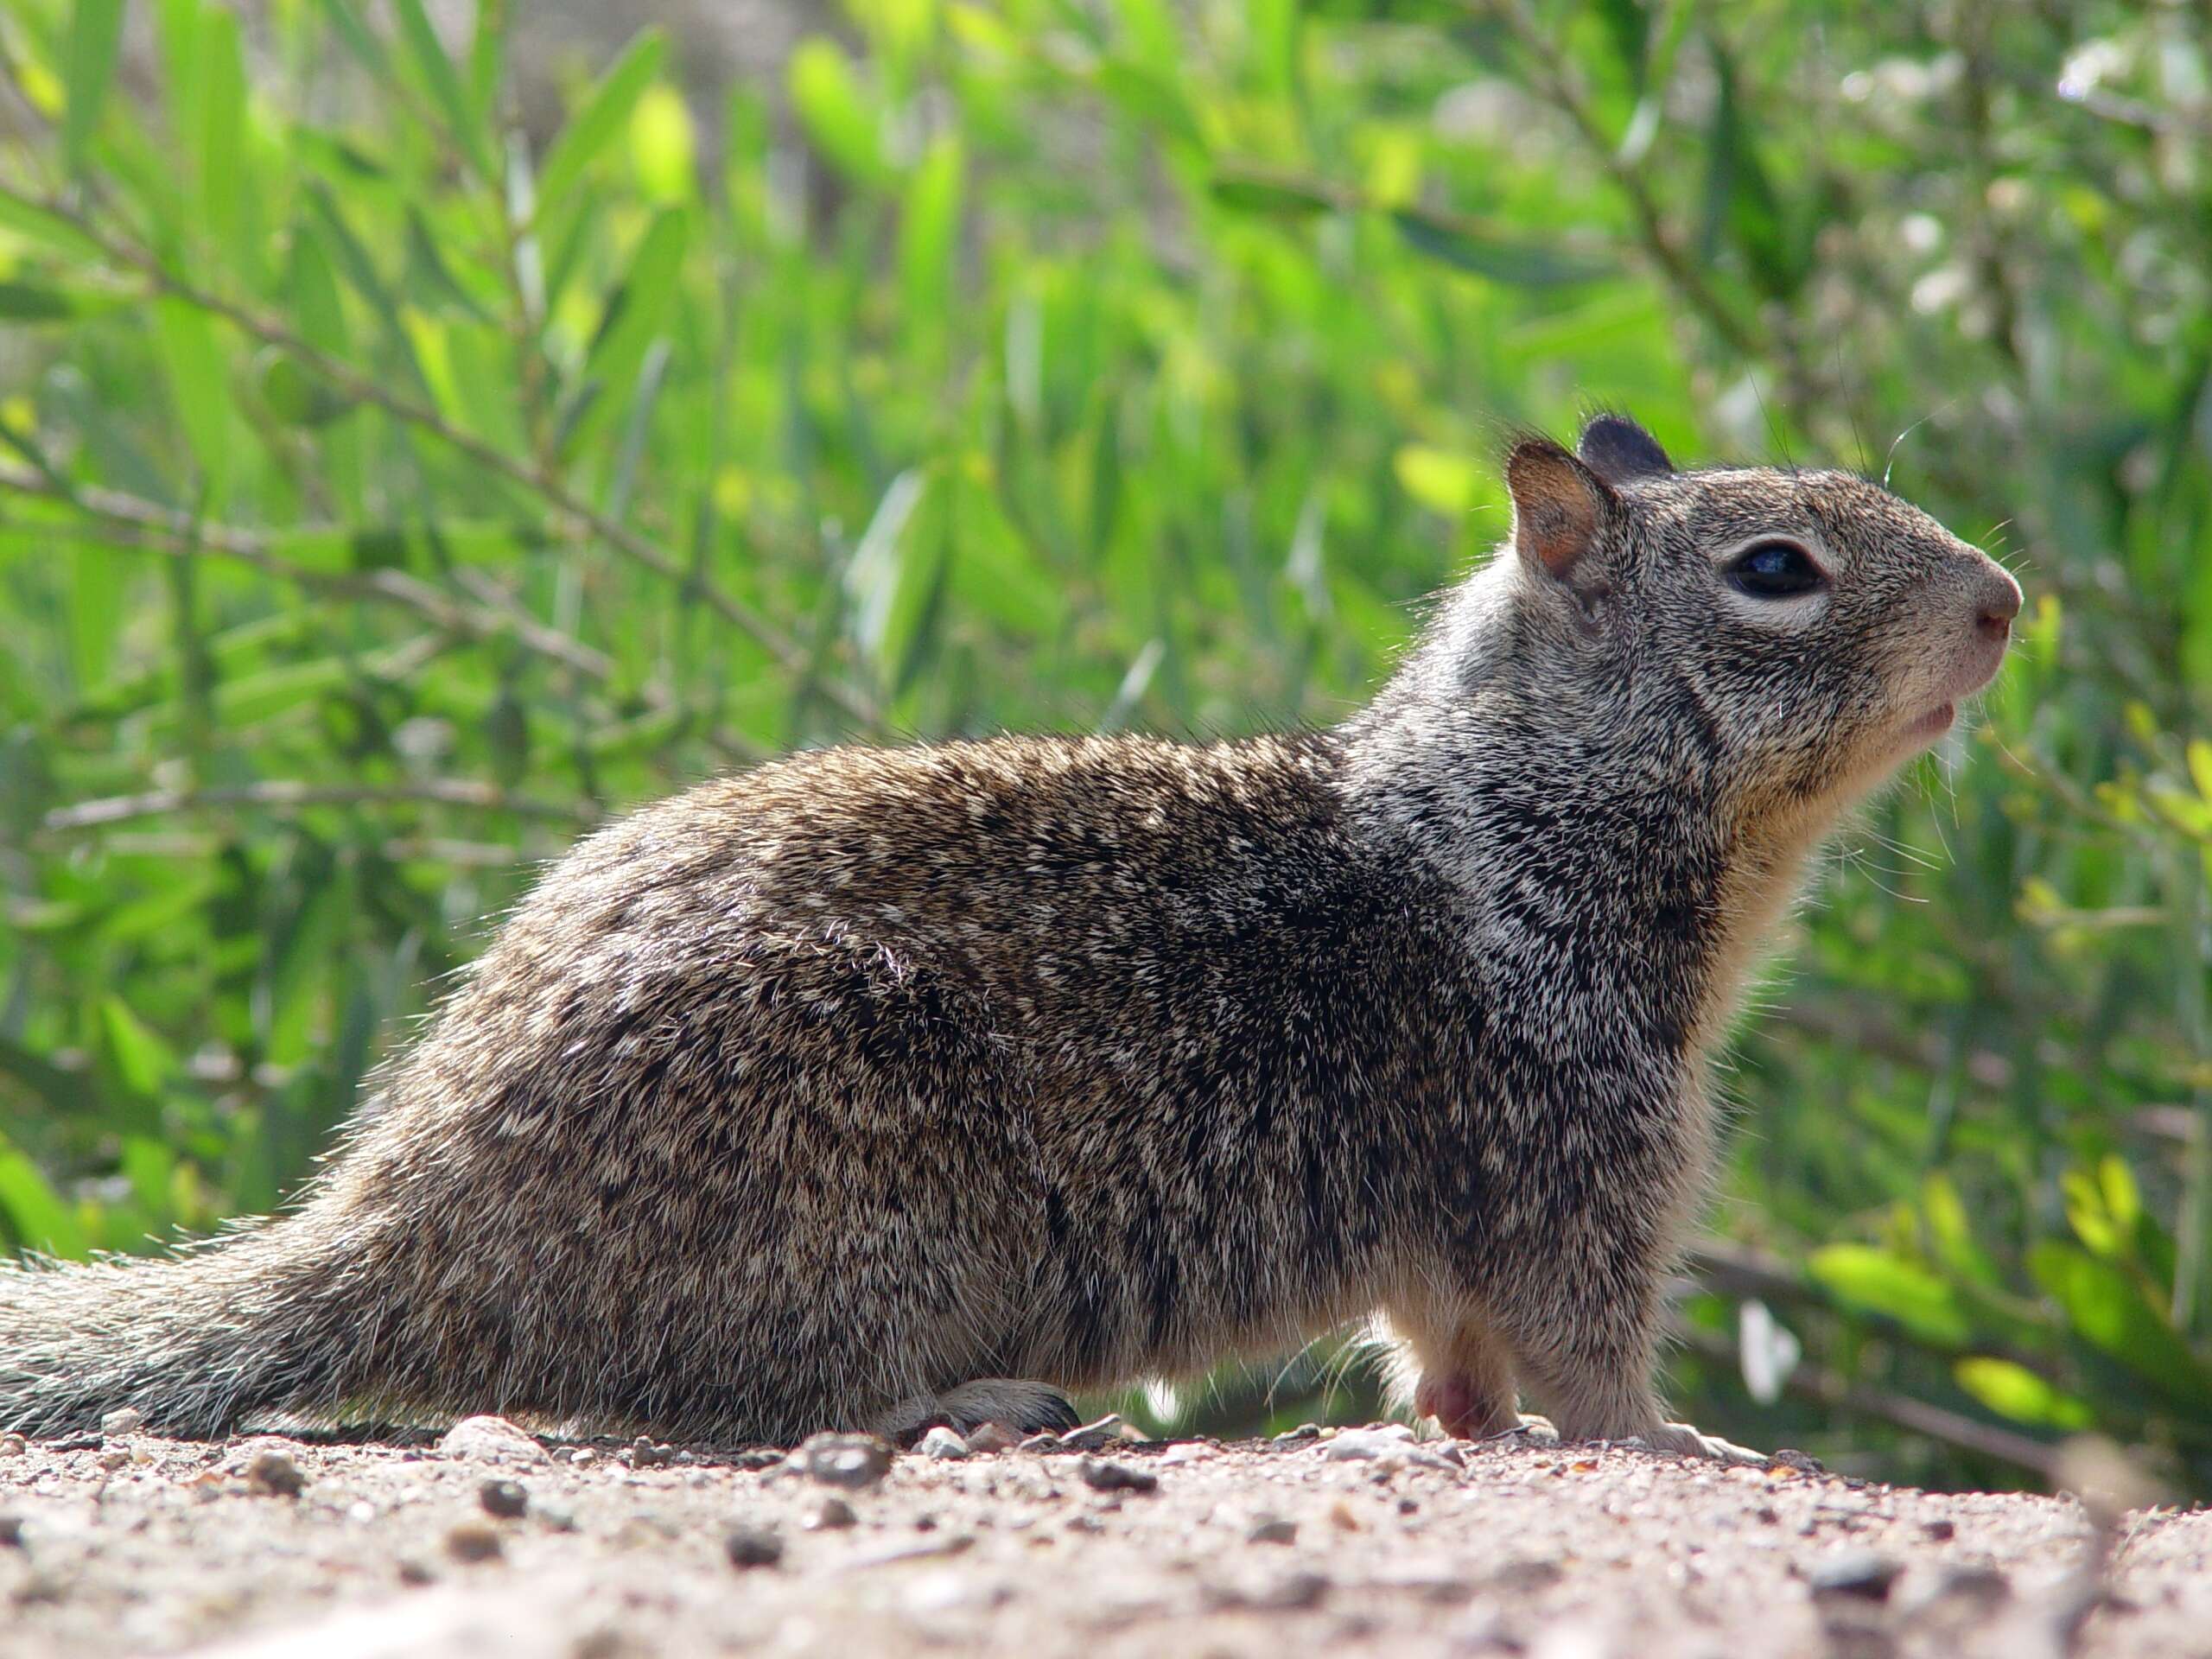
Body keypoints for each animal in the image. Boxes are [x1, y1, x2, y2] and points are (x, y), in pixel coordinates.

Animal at [0, 417, 2025, 1468]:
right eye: (1776, 571)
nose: (2011, 601)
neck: (1518, 811)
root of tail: (400, 1224)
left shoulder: (1469, 1219)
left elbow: (1445, 1355)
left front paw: (1474, 1429)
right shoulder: (1574, 1152)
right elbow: (1591, 1357)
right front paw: (1689, 1445)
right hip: (825, 1215)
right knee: (714, 1399)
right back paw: (974, 1399)